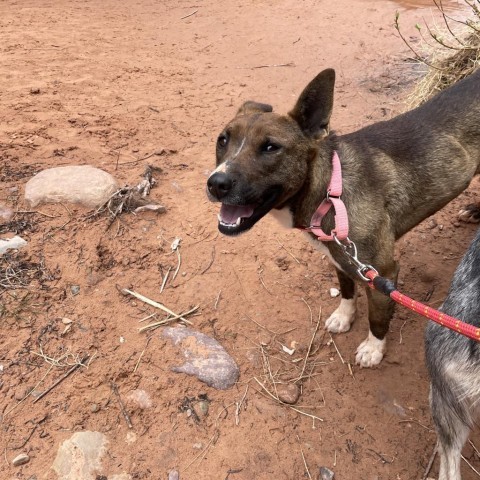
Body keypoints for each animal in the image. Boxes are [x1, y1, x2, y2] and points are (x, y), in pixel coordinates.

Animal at [206, 68, 480, 368]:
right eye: (222, 140)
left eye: (270, 147)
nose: (216, 183)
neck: (330, 192)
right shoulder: (339, 254)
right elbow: (347, 289)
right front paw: (344, 317)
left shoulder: (382, 272)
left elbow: (377, 318)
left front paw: (374, 348)